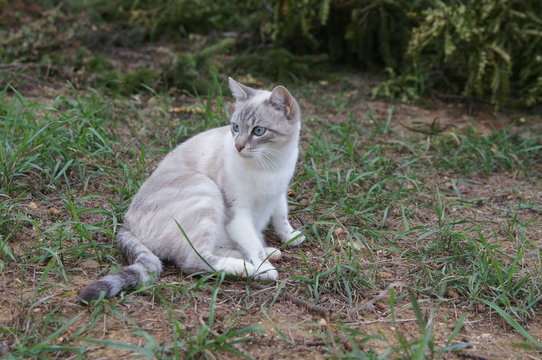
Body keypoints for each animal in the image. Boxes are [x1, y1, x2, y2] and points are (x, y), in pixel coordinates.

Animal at [79, 77, 306, 302]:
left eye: (258, 131)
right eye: (236, 127)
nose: (238, 146)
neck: (272, 164)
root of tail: (126, 225)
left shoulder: (279, 192)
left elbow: (281, 217)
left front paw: (290, 236)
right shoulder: (238, 215)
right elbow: (252, 245)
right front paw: (264, 268)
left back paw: (270, 251)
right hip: (205, 190)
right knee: (194, 260)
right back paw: (251, 269)